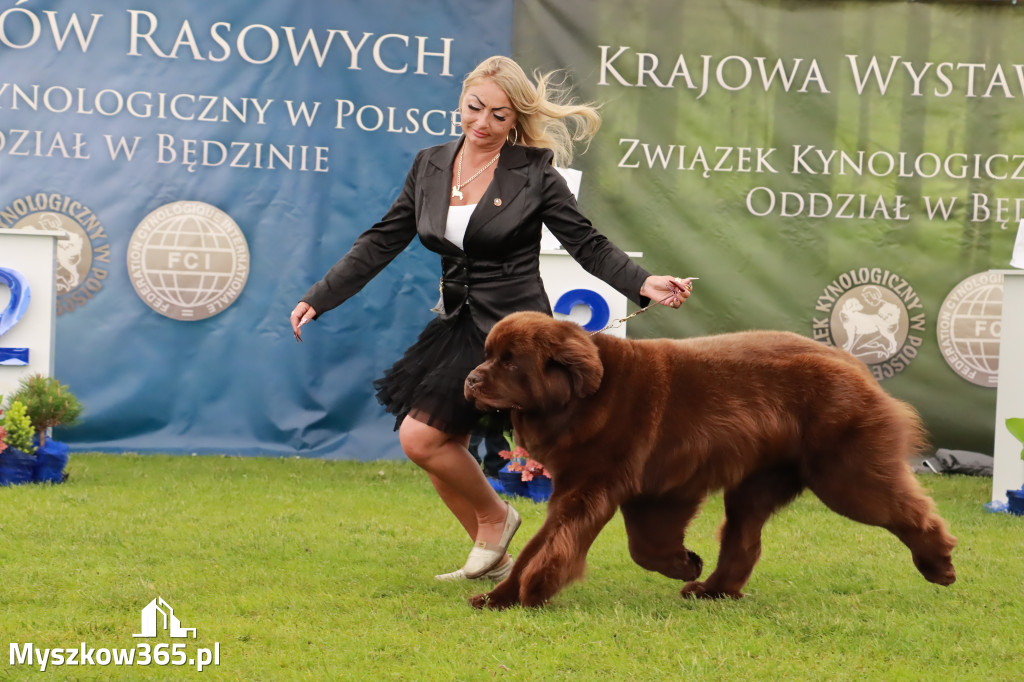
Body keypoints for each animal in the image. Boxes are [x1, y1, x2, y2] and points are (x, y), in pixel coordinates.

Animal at [464, 311, 950, 606]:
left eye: (510, 362)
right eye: (488, 355)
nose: (470, 379)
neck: (582, 396)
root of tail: (854, 363)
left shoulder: (594, 483)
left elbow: (555, 540)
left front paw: (528, 591)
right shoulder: (649, 490)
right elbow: (634, 545)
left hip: (845, 476)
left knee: (906, 509)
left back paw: (940, 563)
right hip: (760, 481)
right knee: (744, 539)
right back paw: (712, 589)